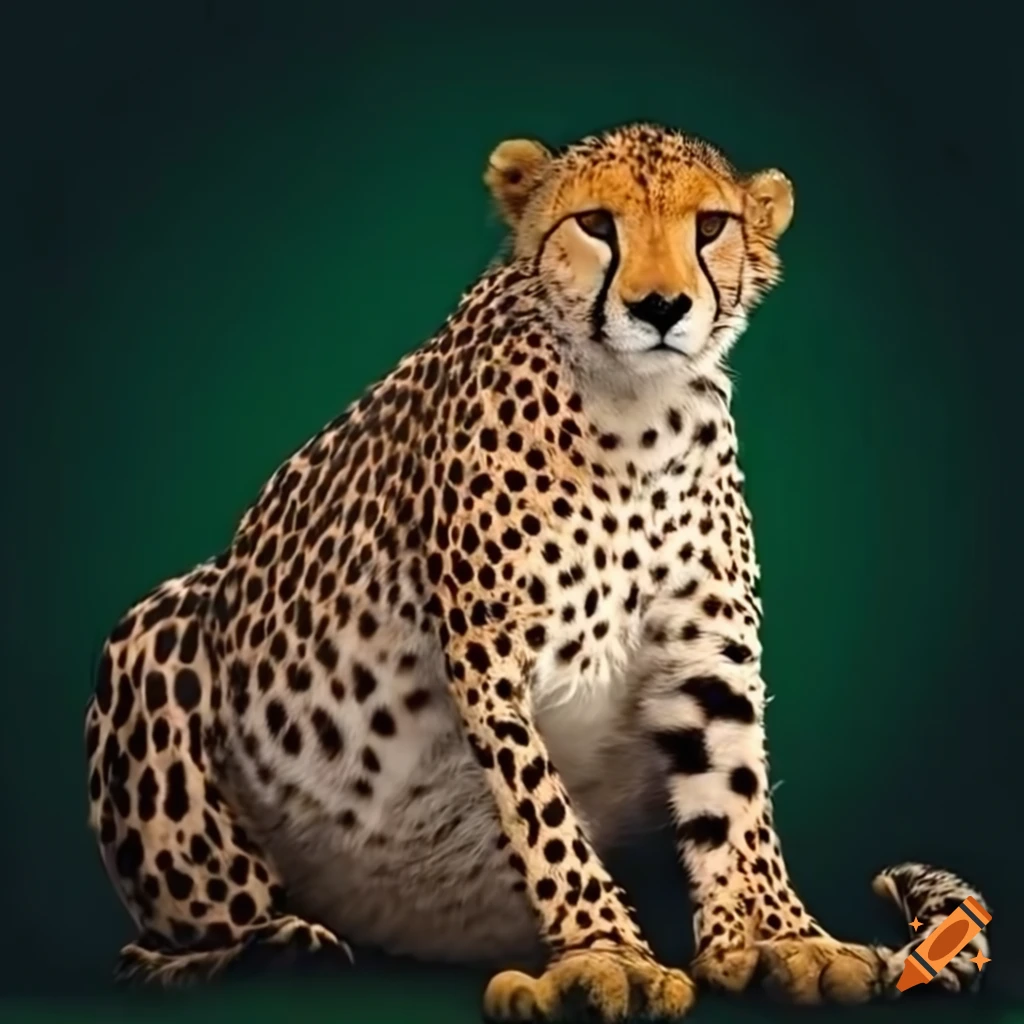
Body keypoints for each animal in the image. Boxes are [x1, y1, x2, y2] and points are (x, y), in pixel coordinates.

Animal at [84, 122, 990, 1021]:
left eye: (710, 227)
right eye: (594, 224)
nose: (661, 308)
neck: (637, 409)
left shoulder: (706, 651)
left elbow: (734, 789)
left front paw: (781, 936)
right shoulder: (492, 659)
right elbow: (542, 809)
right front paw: (608, 954)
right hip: (161, 626)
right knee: (179, 927)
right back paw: (257, 950)